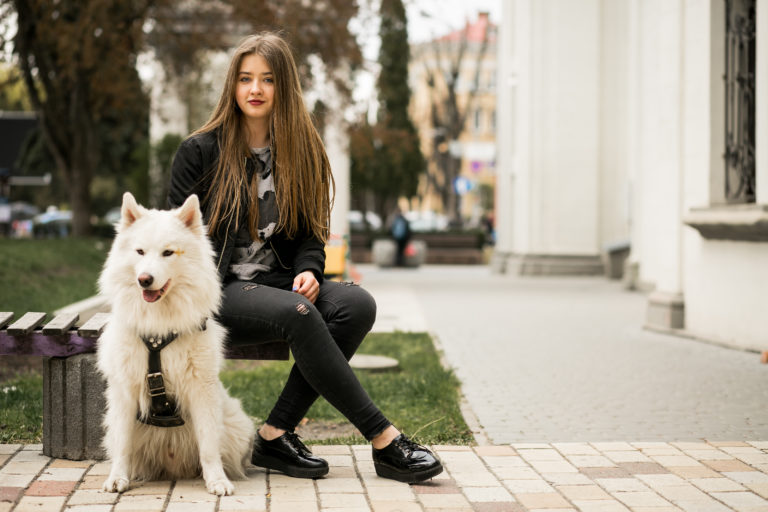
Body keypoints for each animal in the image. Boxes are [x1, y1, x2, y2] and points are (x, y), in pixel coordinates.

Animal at [97, 193, 255, 496]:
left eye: (168, 253)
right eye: (140, 252)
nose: (144, 279)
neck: (159, 332)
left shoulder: (201, 388)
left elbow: (209, 445)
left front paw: (217, 481)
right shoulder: (124, 390)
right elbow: (122, 444)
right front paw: (117, 478)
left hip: (238, 425)